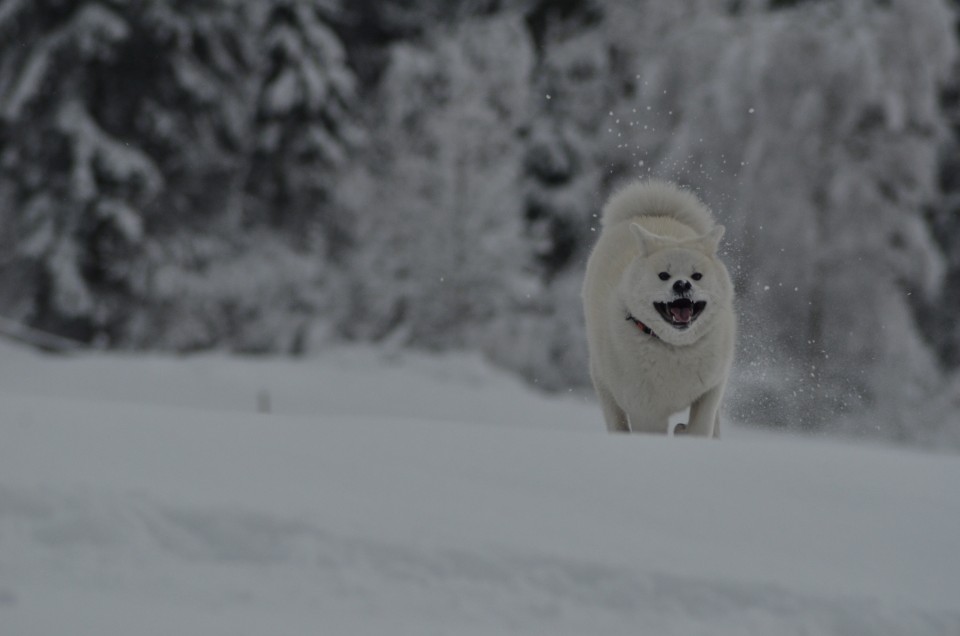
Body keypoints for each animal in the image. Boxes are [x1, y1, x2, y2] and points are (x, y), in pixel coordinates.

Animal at [584, 179, 736, 438]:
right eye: (664, 275)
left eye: (697, 275)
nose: (682, 284)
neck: (675, 348)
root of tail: (652, 213)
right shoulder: (646, 411)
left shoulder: (712, 386)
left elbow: (701, 426)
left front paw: (686, 432)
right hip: (603, 381)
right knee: (616, 420)